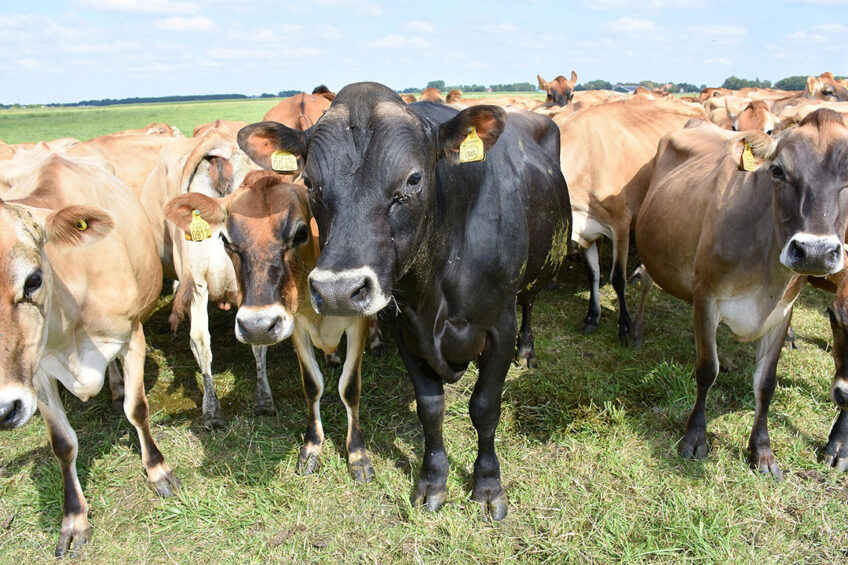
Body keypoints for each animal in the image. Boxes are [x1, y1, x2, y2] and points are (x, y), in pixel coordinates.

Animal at [0, 151, 177, 556]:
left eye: (33, 279)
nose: (2, 410)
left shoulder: (132, 336)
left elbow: (137, 409)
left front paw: (158, 470)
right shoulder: (36, 373)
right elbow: (63, 443)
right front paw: (74, 519)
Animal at [166, 171, 374, 480]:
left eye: (301, 233)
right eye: (225, 240)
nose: (257, 326)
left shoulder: (357, 323)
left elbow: (349, 387)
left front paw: (358, 455)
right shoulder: (296, 326)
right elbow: (312, 385)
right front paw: (312, 447)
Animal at [237, 81, 568, 516]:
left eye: (412, 179)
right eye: (309, 183)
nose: (338, 291)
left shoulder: (498, 325)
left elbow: (484, 407)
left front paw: (487, 485)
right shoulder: (405, 329)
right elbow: (430, 407)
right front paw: (433, 481)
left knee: (529, 302)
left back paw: (526, 351)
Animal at [560, 98, 704, 342]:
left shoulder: (620, 224)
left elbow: (618, 278)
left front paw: (625, 327)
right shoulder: (587, 229)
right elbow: (593, 273)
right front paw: (592, 317)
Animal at [632, 111, 848, 480]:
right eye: (778, 170)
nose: (816, 252)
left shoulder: (783, 312)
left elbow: (766, 383)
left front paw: (762, 451)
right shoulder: (706, 297)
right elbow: (707, 369)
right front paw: (695, 438)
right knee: (646, 281)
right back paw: (634, 330)